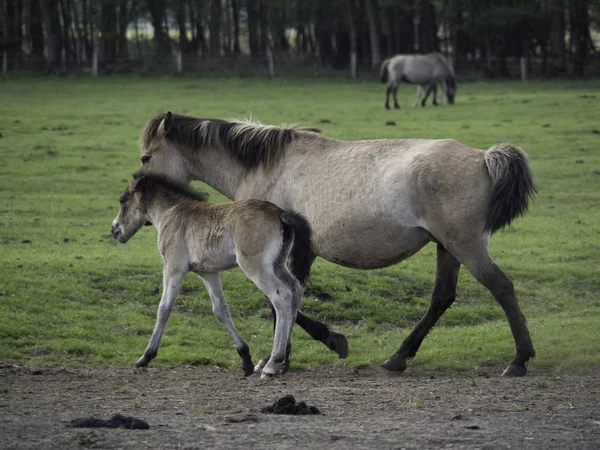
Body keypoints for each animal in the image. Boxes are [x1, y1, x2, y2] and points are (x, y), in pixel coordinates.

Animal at [109, 174, 312, 378]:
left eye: (122, 200)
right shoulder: (208, 272)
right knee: (295, 290)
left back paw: (273, 362)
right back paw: (283, 360)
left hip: (255, 267)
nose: (114, 230)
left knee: (281, 296)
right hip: (278, 265)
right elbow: (221, 309)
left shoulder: (174, 267)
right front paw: (245, 359)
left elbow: (164, 308)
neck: (171, 212)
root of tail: (280, 214)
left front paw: (146, 357)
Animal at [138, 111, 536, 376]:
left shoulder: (283, 256)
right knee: (442, 297)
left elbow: (283, 304)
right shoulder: (296, 255)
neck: (267, 165)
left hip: (464, 245)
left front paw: (286, 356)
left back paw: (519, 360)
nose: (138, 190)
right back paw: (398, 358)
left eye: (146, 156)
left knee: (501, 287)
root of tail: (483, 157)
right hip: (447, 247)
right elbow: (290, 302)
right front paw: (289, 354)